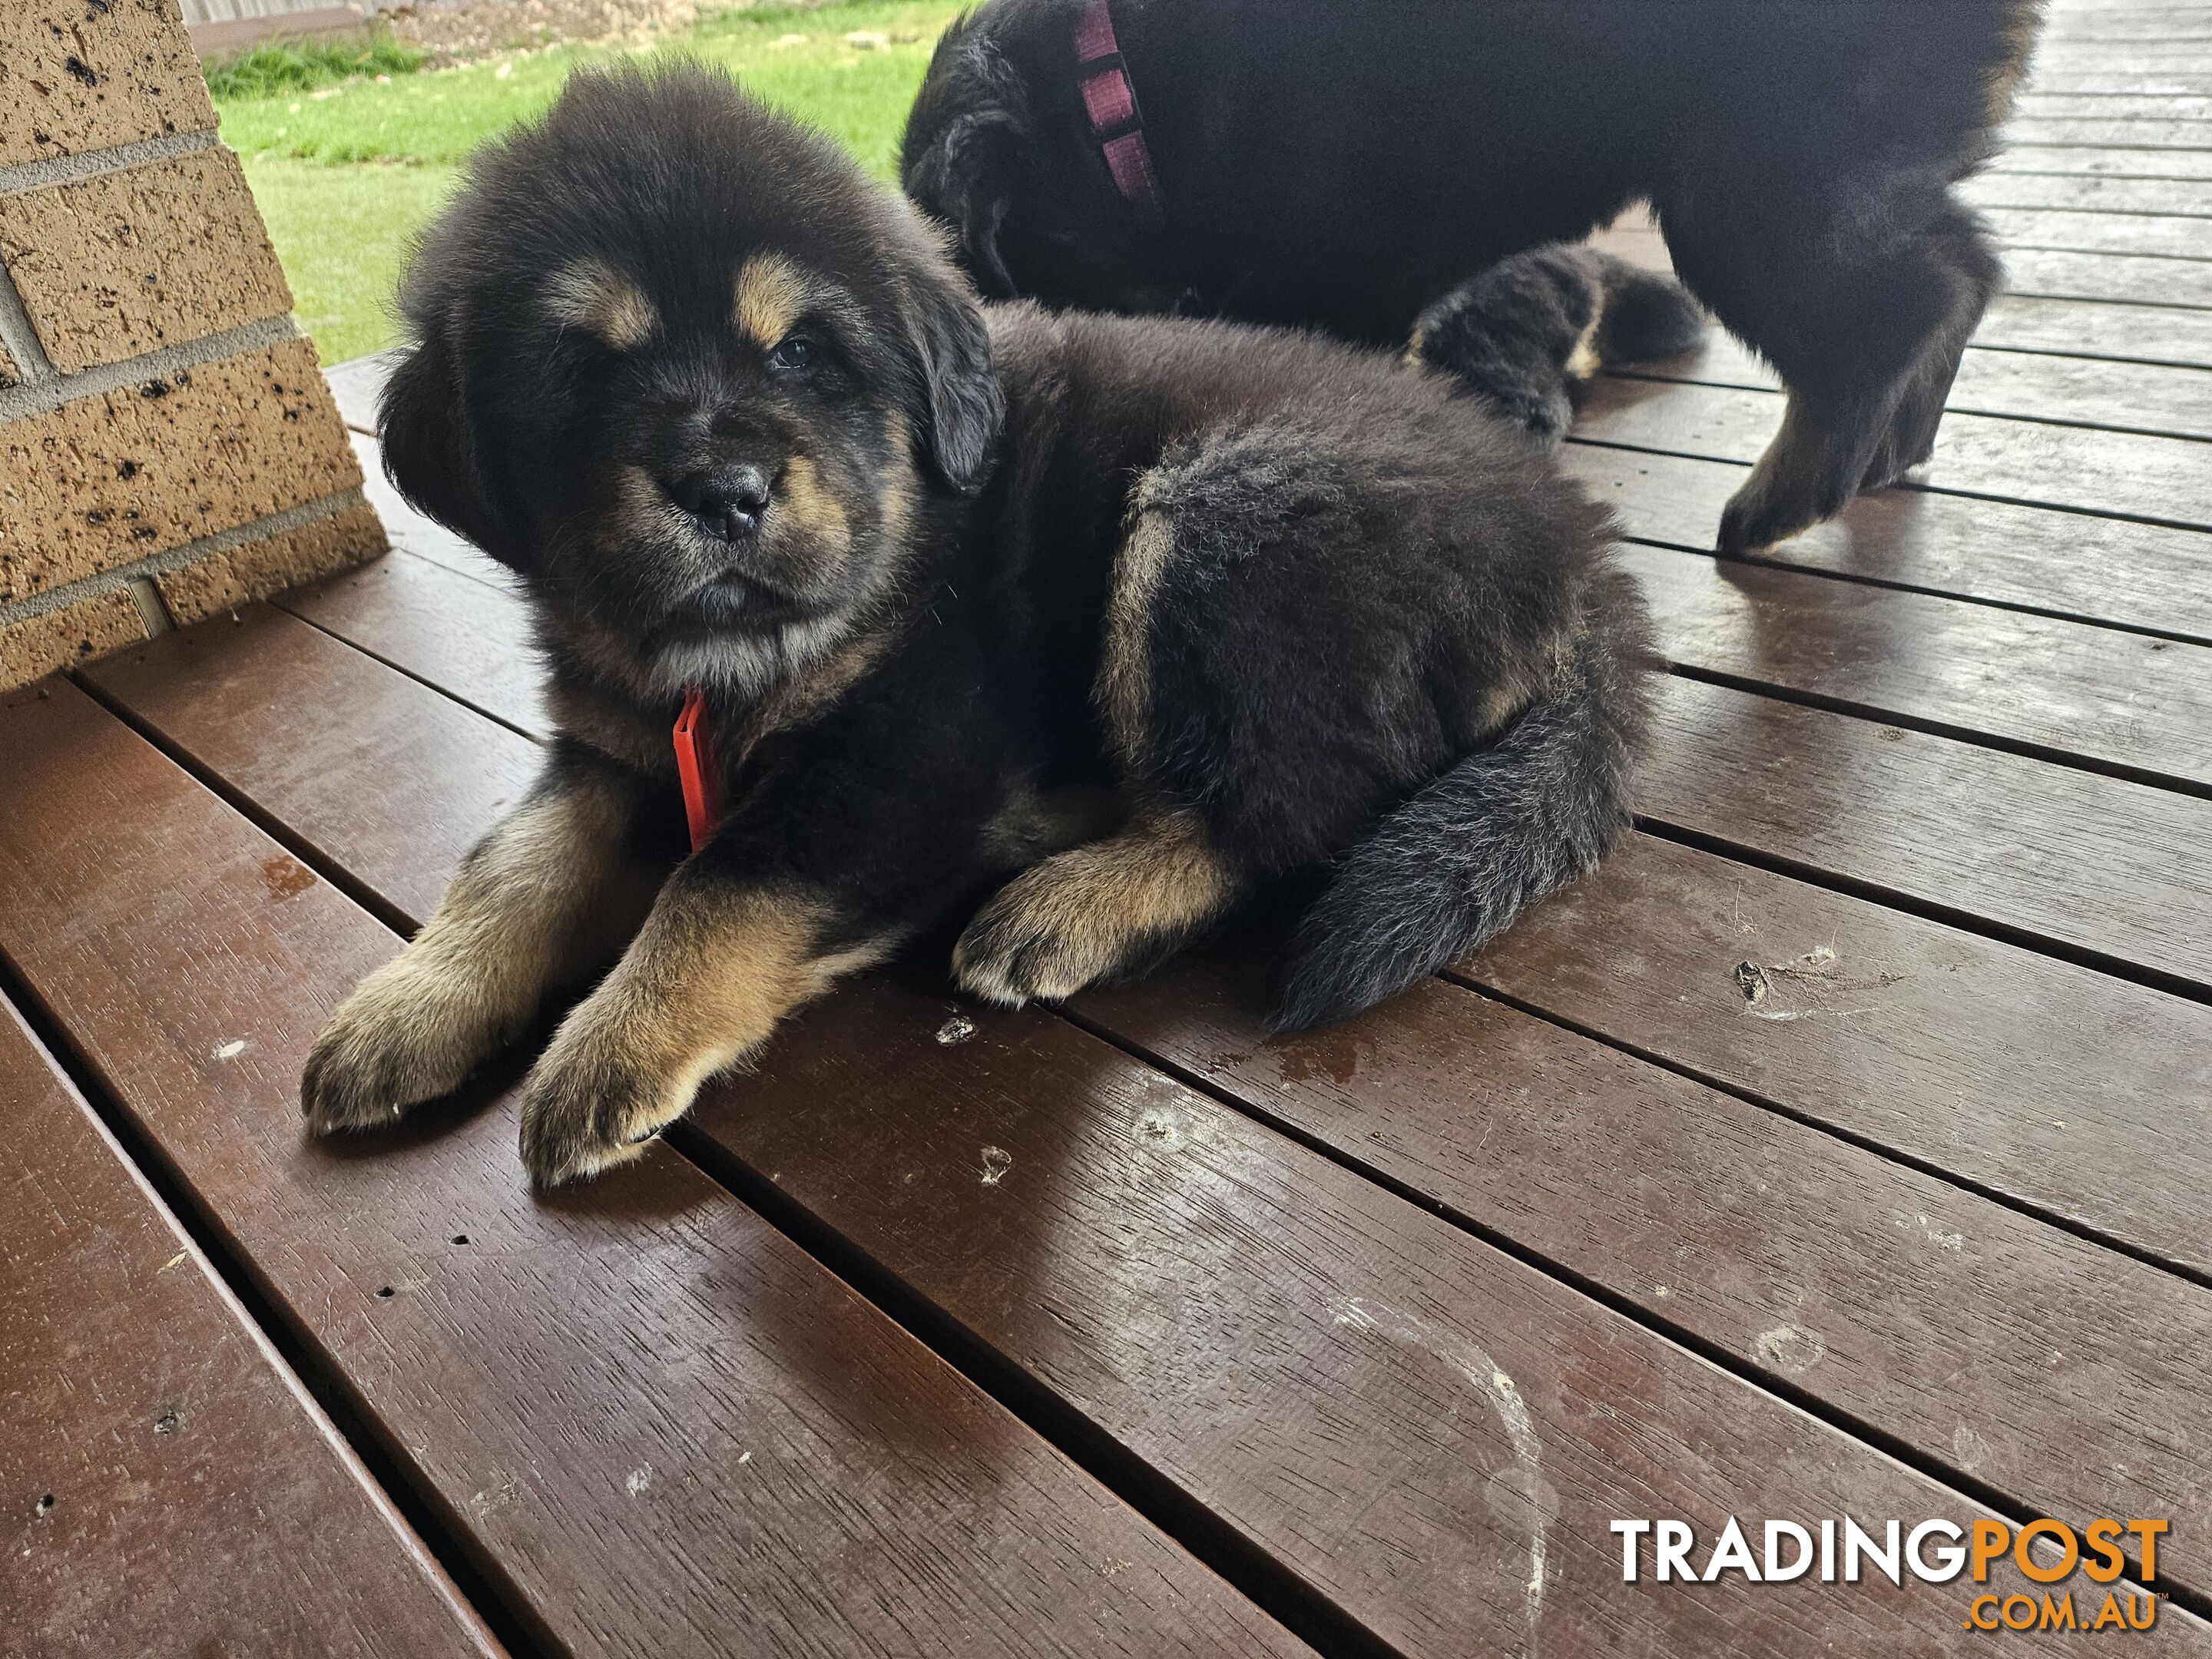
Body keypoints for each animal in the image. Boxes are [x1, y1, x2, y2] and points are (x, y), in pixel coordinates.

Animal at [307, 65, 1663, 1185]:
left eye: (800, 354)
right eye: (585, 372)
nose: (723, 492)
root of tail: (1580, 552)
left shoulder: (911, 745)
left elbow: (723, 877)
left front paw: (612, 1045)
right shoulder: (608, 749)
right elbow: (510, 863)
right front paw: (405, 1006)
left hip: (1222, 508)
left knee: (1278, 821)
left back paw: (1062, 903)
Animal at [898, 0, 2035, 559]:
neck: (1114, 97)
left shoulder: (1331, 275)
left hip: (1760, 184)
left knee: (1895, 319)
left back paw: (1782, 502)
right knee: (1962, 273)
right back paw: (1895, 453)